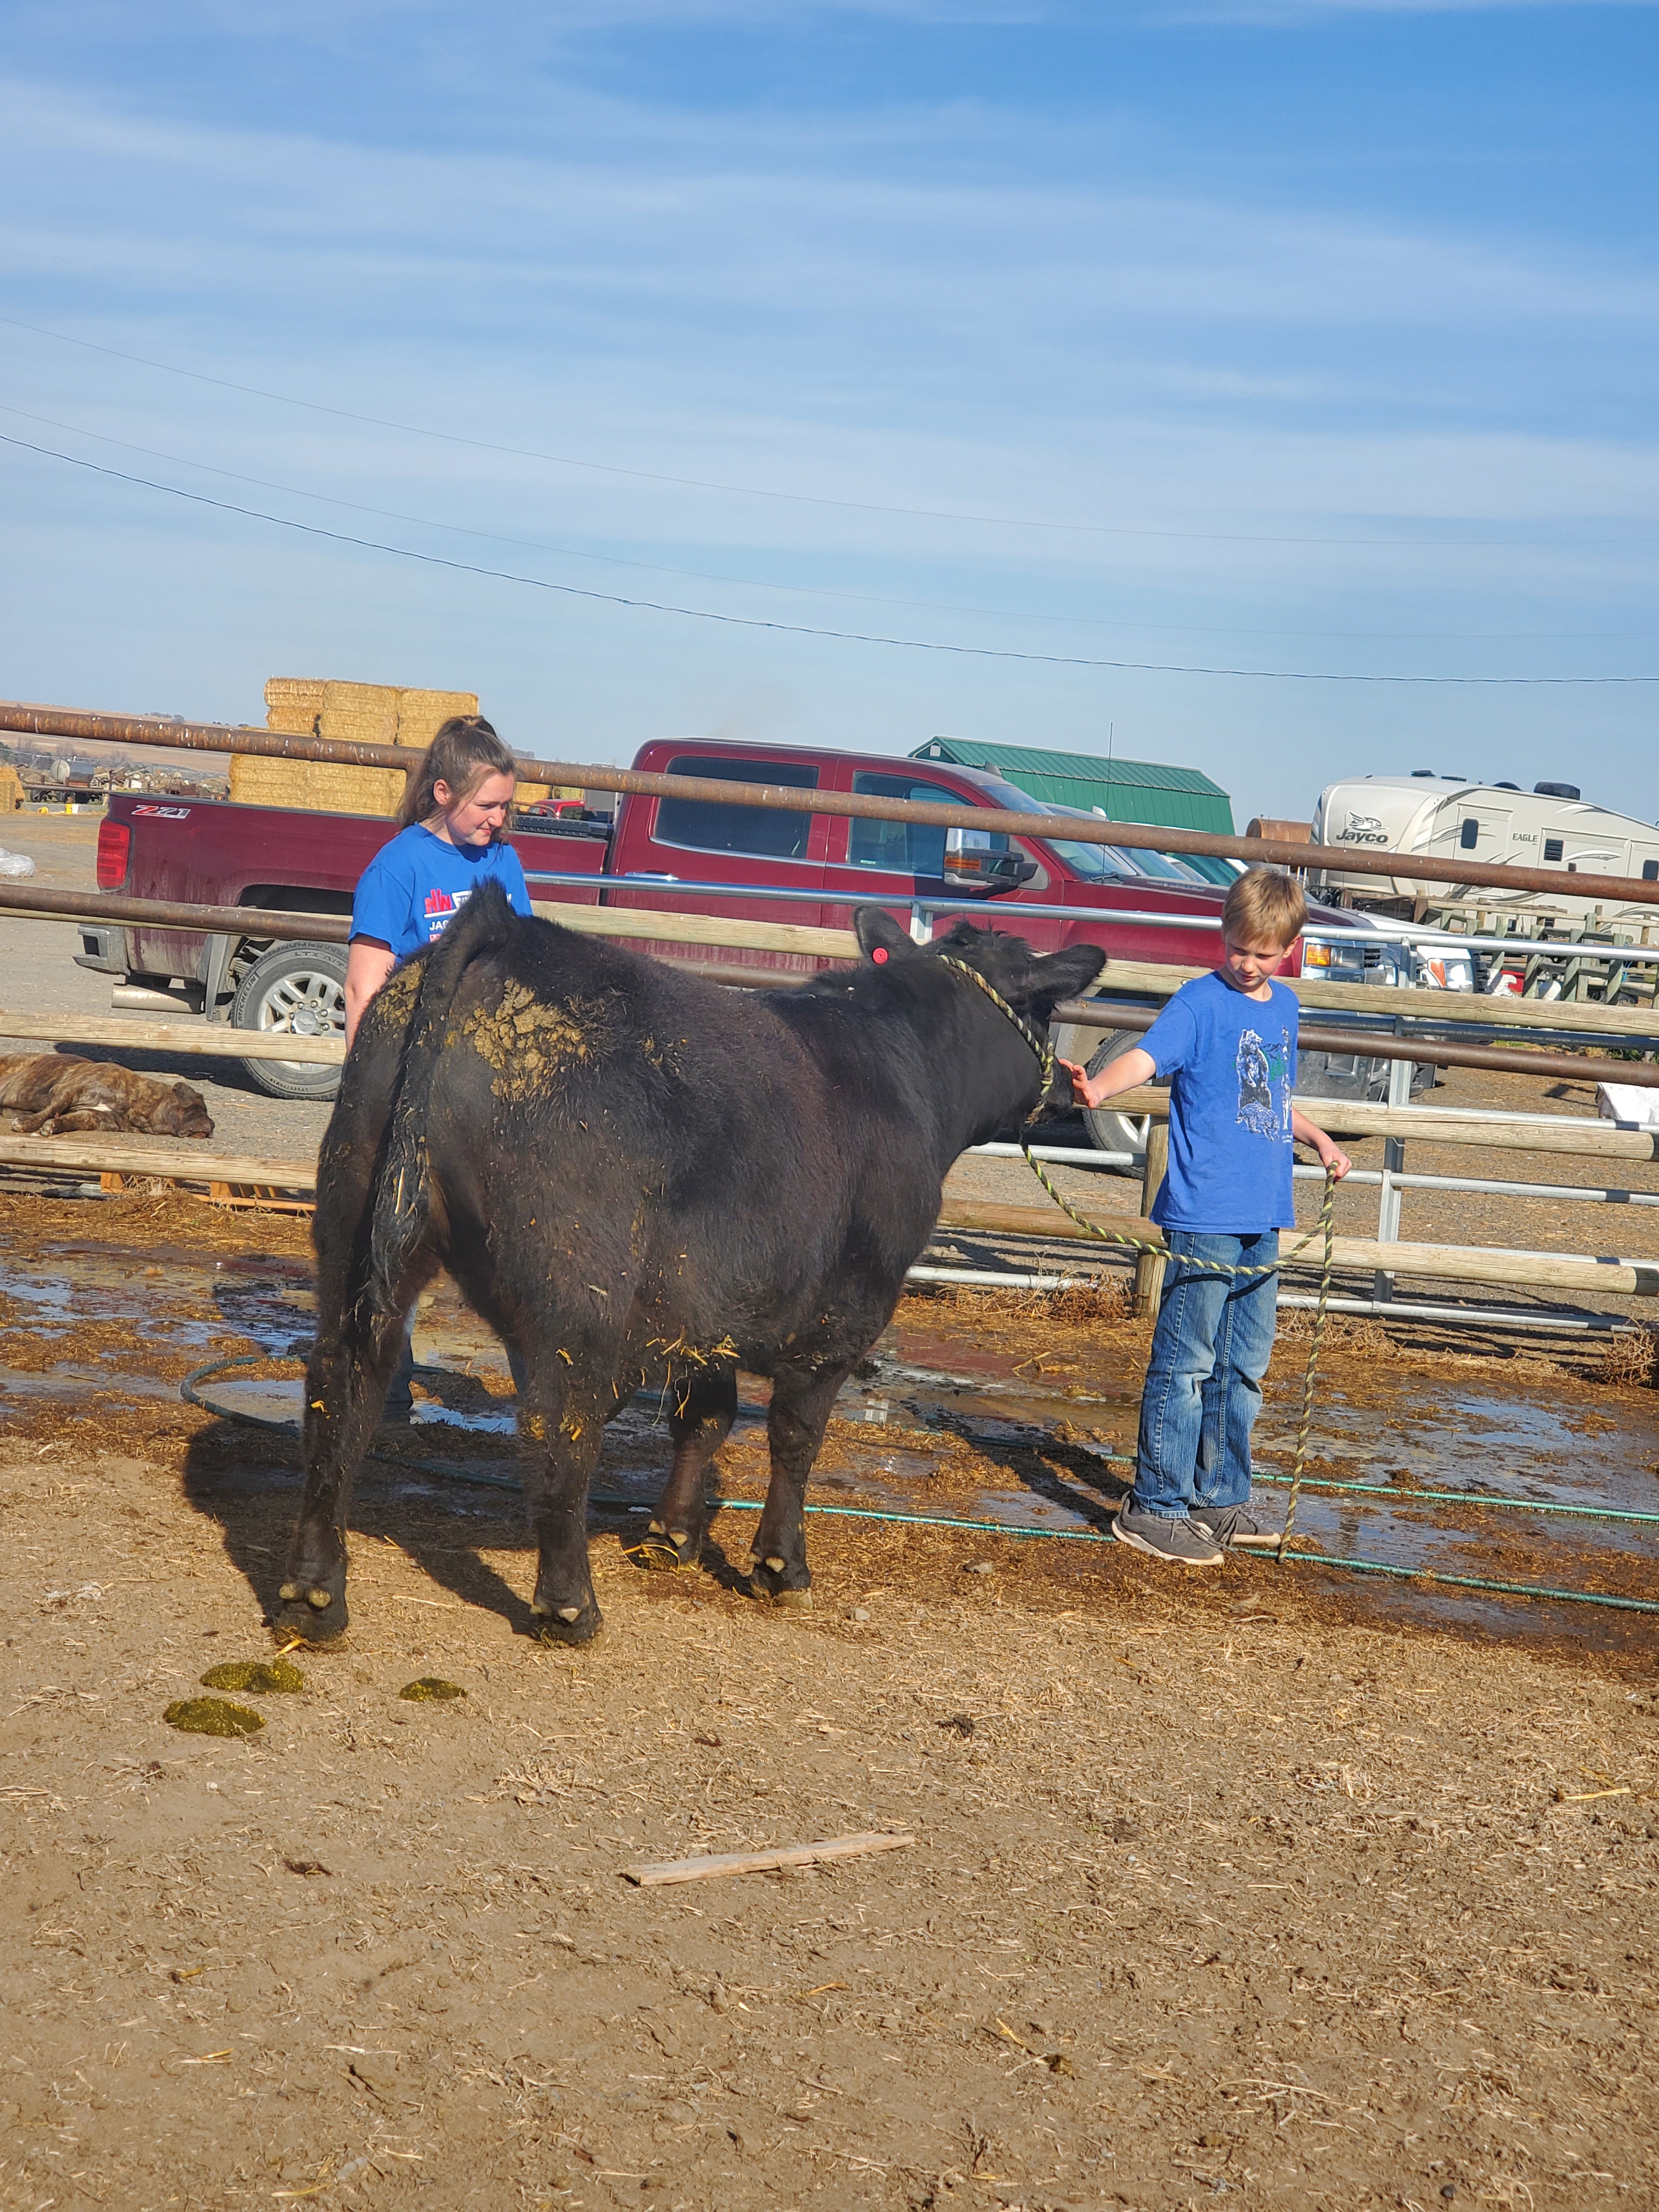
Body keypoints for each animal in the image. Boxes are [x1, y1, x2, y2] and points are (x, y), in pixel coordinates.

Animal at [274, 887, 1104, 1645]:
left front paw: (670, 1535)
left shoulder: (712, 1306)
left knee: (341, 1386)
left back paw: (314, 1594)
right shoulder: (847, 1309)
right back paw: (569, 1606)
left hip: (356, 1228)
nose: (1073, 1084)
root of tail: (505, 928)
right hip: (578, 1290)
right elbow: (795, 1436)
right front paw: (780, 1565)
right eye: (1045, 1009)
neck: (905, 1069)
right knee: (559, 1426)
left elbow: (704, 1418)